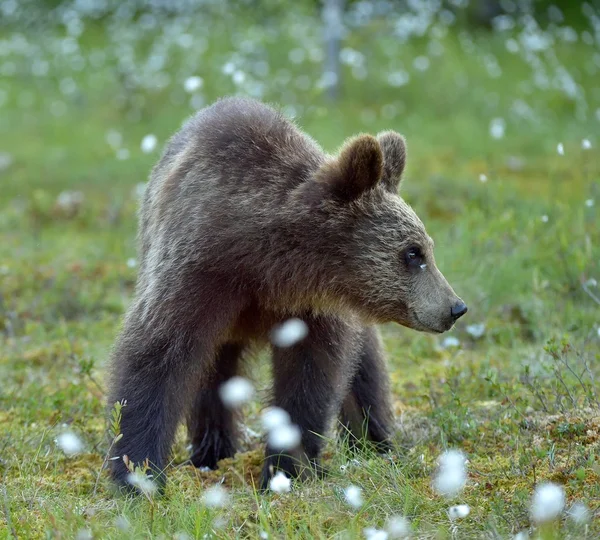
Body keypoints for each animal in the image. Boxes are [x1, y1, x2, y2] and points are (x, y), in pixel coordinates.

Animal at [105, 95, 466, 492]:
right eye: (413, 253)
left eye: (426, 248)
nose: (455, 307)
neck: (268, 264)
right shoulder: (198, 271)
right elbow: (157, 357)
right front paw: (138, 472)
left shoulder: (311, 309)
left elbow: (310, 378)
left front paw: (285, 468)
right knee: (212, 374)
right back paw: (211, 452)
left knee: (366, 370)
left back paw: (376, 442)